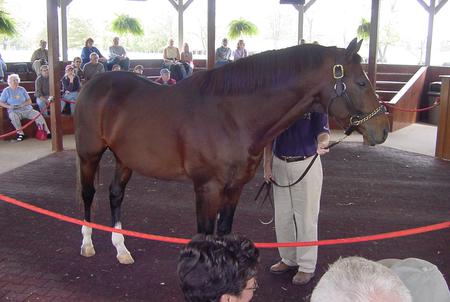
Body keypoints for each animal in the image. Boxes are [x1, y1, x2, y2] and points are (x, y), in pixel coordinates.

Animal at [75, 38, 388, 264]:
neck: (232, 115)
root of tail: (93, 83)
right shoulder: (207, 188)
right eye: (361, 82)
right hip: (89, 155)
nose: (383, 128)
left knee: (116, 195)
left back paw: (121, 249)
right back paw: (87, 244)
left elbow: (223, 232)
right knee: (88, 194)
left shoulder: (234, 188)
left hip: (124, 159)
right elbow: (204, 235)